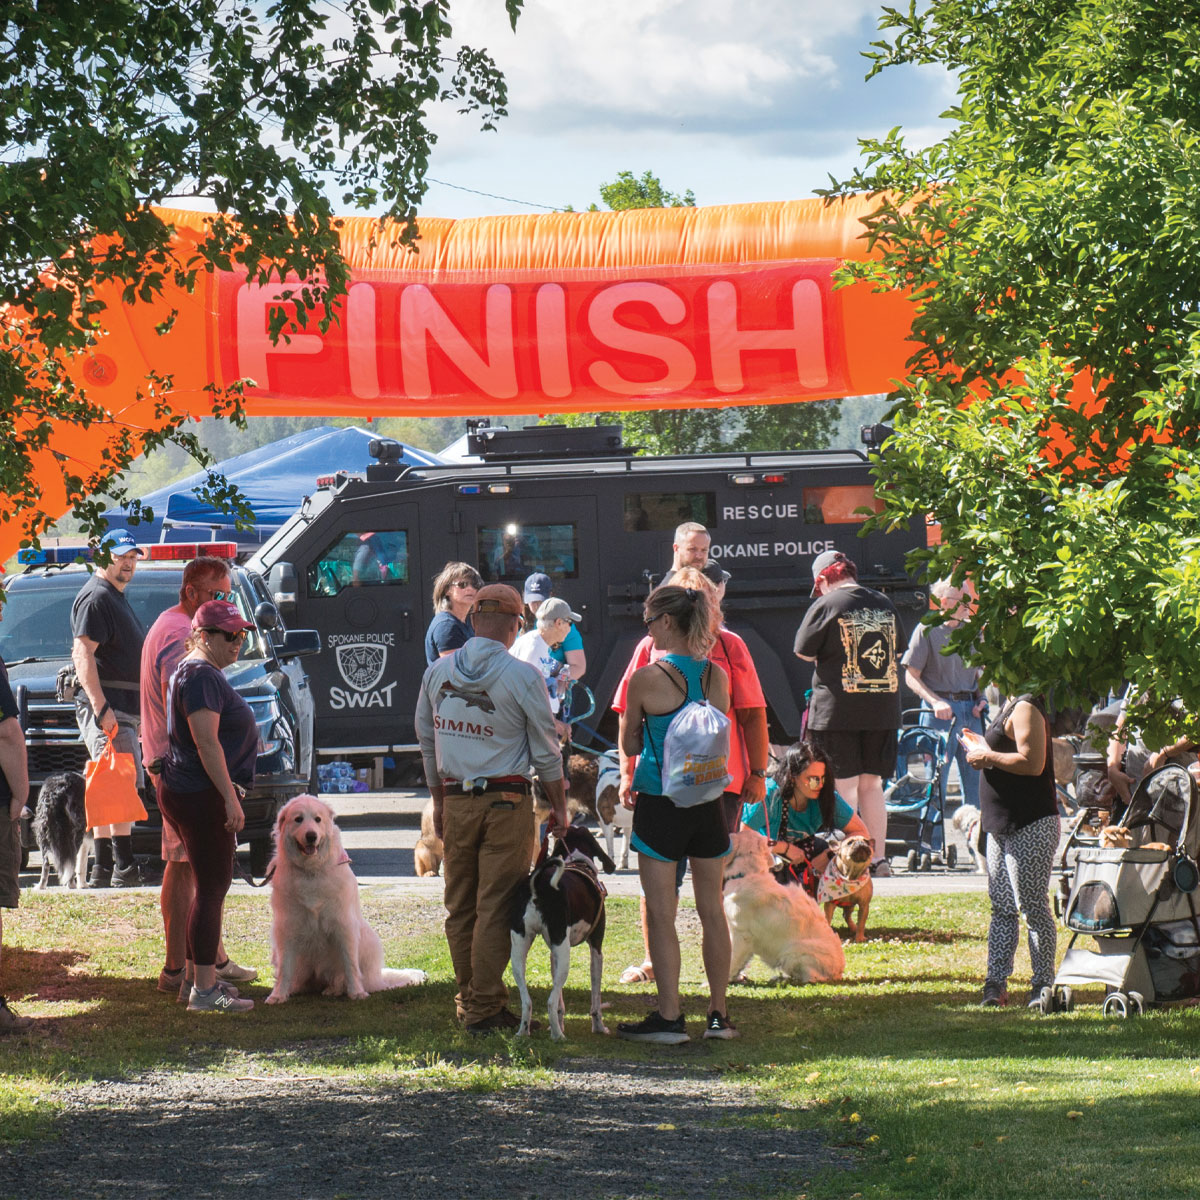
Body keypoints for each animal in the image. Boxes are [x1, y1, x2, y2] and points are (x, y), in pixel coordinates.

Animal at [266, 796, 427, 1003]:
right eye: (298, 819)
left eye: (317, 819)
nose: (311, 836)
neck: (311, 872)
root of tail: (378, 978)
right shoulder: (287, 929)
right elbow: (284, 968)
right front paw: (278, 995)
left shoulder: (344, 926)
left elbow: (350, 965)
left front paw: (357, 993)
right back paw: (296, 988)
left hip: (369, 941)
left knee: (344, 976)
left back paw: (335, 989)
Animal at [508, 825, 614, 1041]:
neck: (578, 862)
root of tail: (538, 885)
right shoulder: (596, 949)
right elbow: (595, 999)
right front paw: (599, 1027)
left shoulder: (553, 953)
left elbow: (560, 1004)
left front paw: (559, 1023)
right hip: (565, 956)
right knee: (550, 1001)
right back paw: (558, 1036)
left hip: (519, 952)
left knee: (527, 1001)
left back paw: (524, 1031)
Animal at [720, 835, 844, 984]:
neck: (749, 873)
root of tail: (839, 972)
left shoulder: (741, 934)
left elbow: (732, 959)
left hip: (793, 952)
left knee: (812, 978)